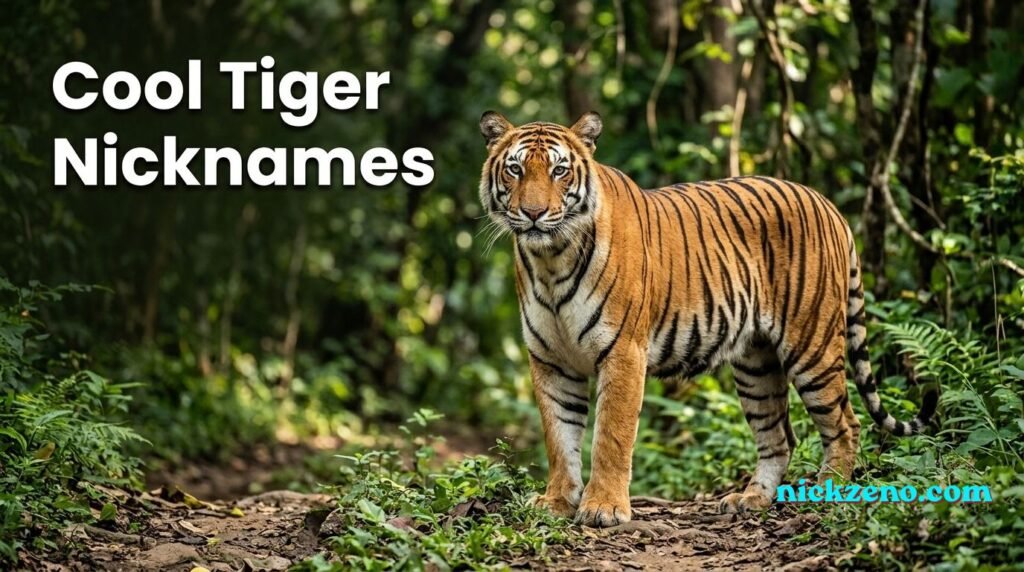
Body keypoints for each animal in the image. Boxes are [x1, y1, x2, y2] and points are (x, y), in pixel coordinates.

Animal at [477, 110, 938, 527]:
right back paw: (751, 500)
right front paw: (557, 502)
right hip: (756, 364)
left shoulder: (623, 352)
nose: (534, 213)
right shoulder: (551, 360)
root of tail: (828, 204)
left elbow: (611, 435)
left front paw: (603, 508)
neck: (550, 259)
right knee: (778, 437)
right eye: (516, 169)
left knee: (846, 424)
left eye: (559, 171)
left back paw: (827, 493)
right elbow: (559, 436)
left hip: (813, 346)